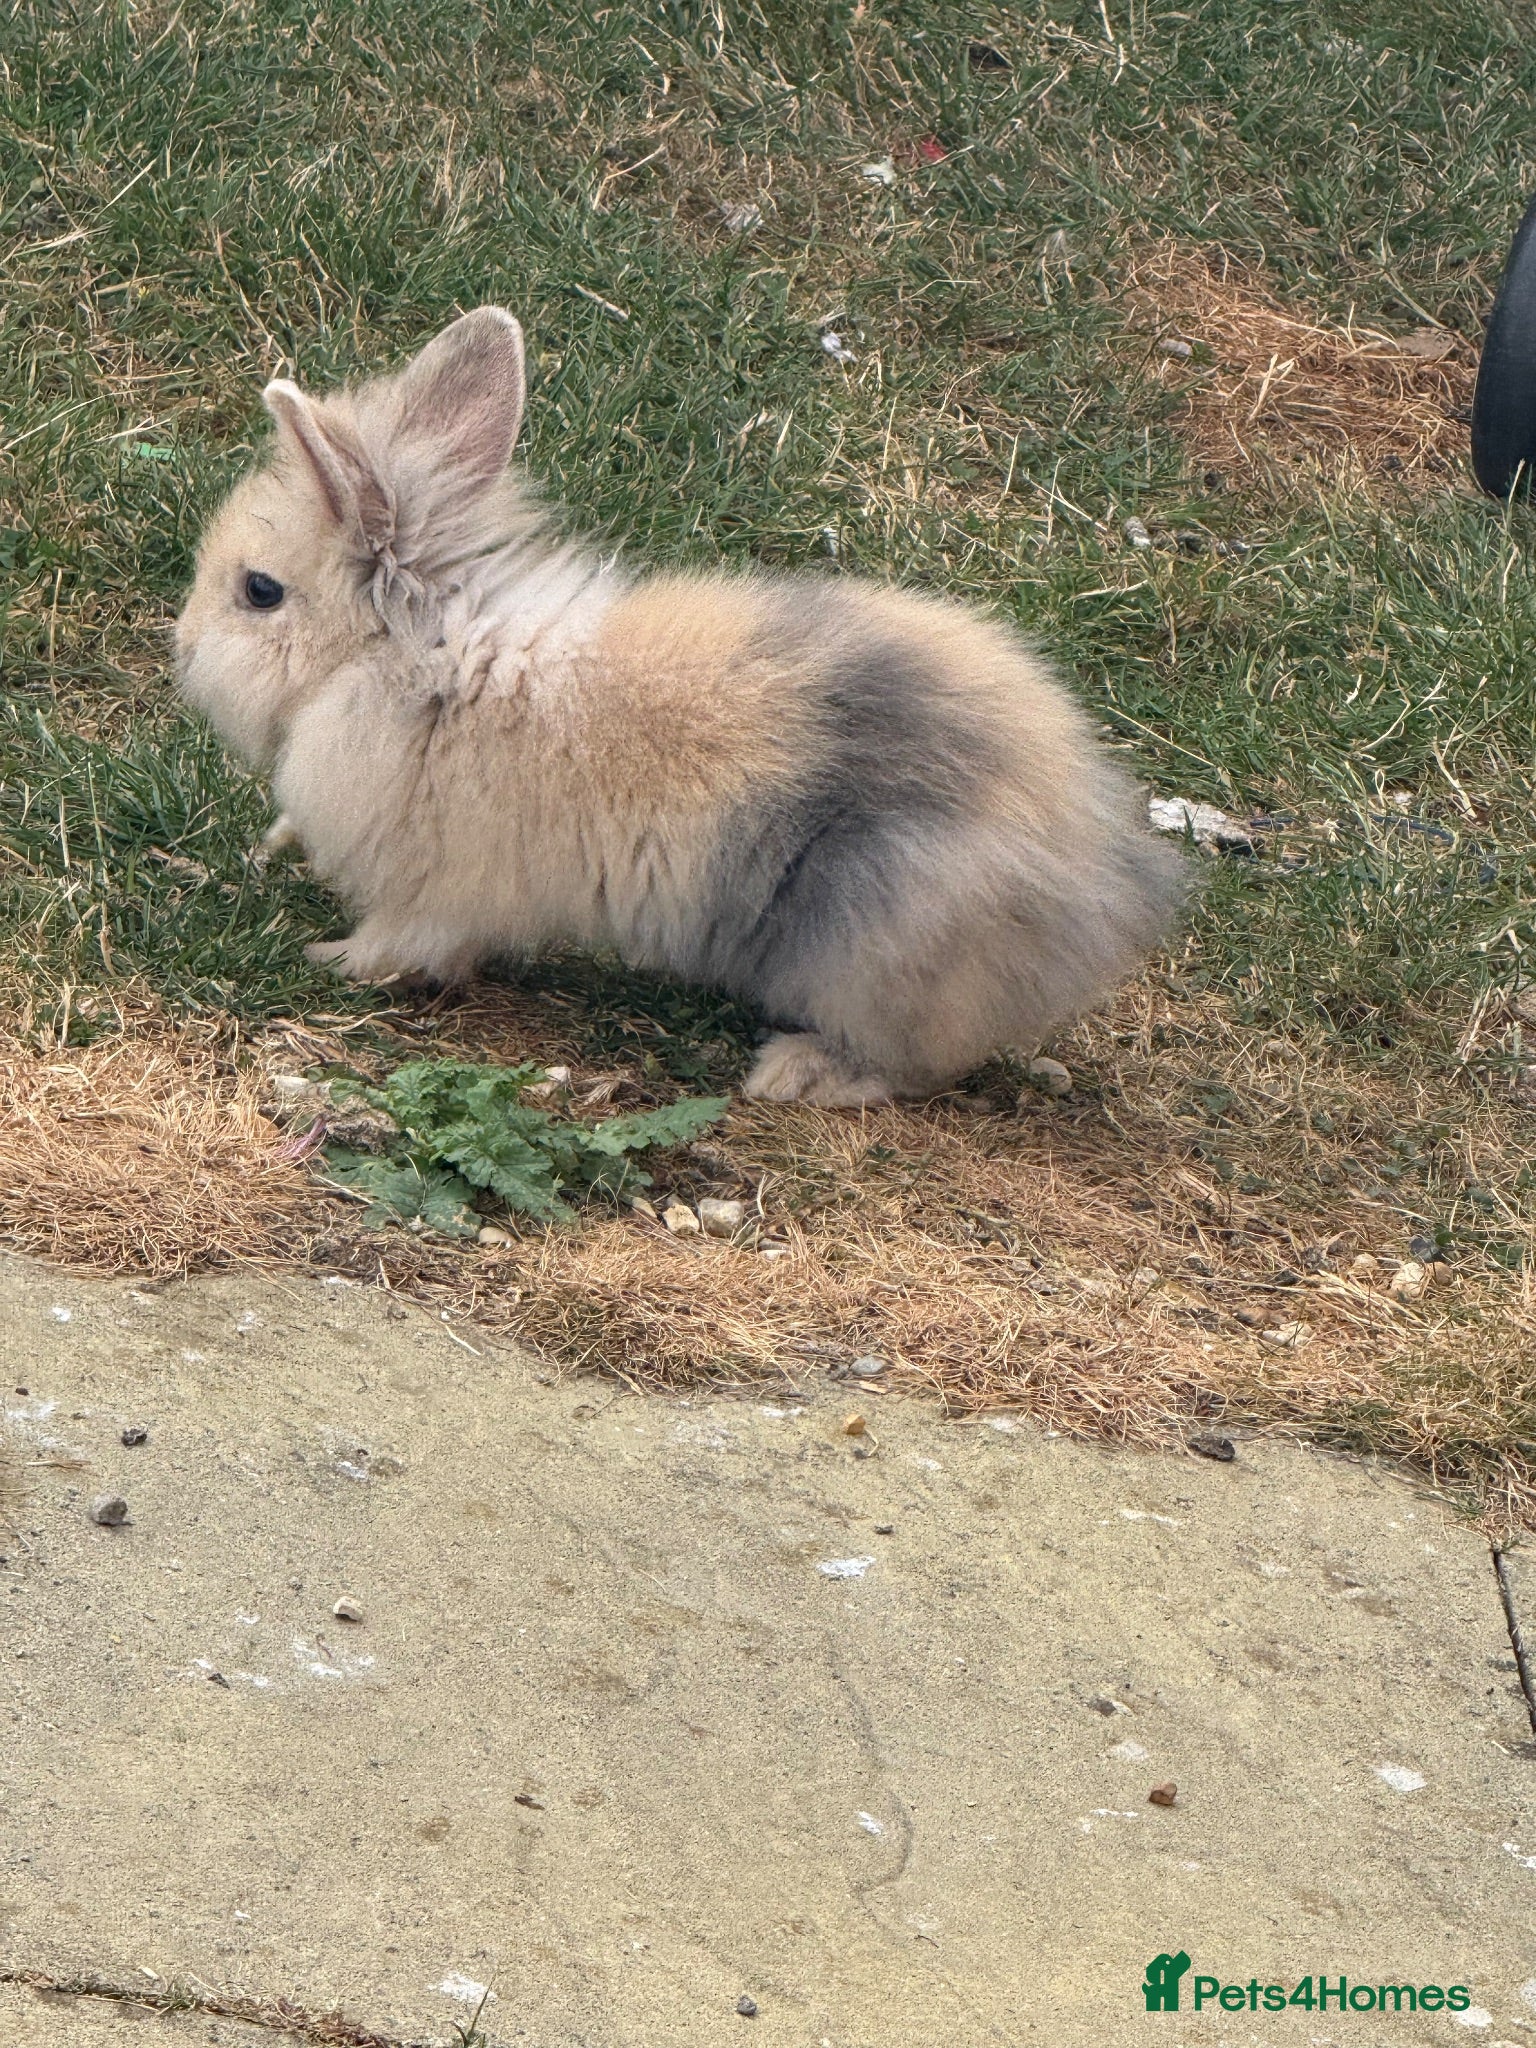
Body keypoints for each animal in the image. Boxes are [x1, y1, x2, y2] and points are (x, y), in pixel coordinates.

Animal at [176, 306, 1187, 1107]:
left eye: (259, 592)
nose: (180, 646)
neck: (416, 658)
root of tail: (1113, 885)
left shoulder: (439, 892)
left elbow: (403, 943)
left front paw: (329, 960)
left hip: (882, 951)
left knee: (916, 1065)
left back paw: (796, 1073)